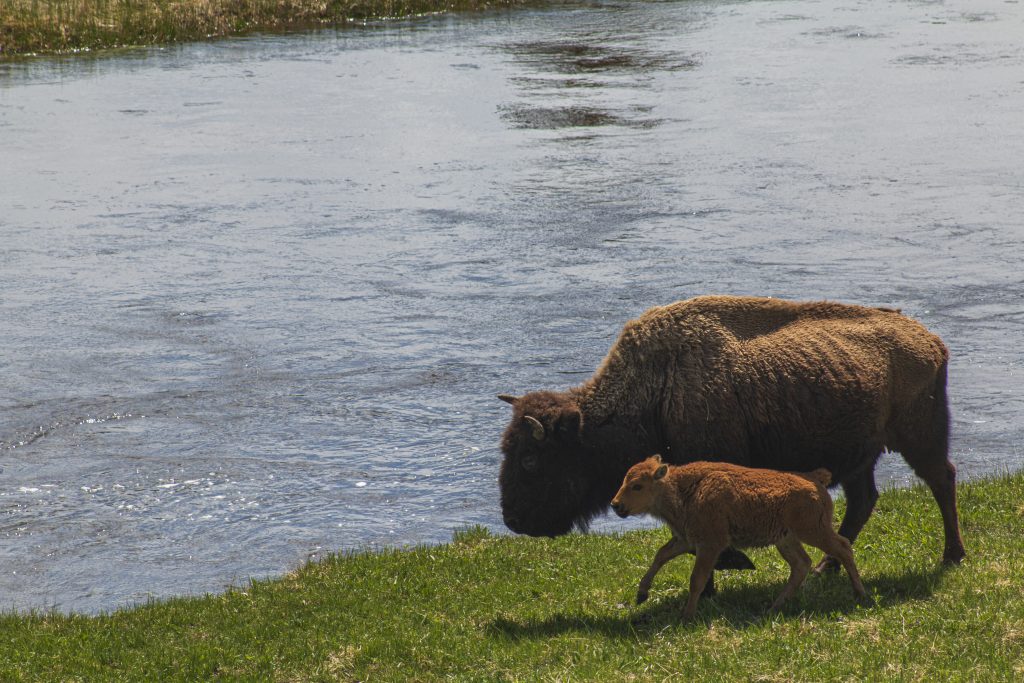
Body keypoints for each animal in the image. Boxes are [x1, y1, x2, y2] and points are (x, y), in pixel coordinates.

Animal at [499, 296, 962, 573]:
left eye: (529, 459)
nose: (512, 520)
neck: (656, 385)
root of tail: (931, 340)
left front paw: (732, 562)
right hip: (859, 455)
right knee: (864, 501)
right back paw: (826, 567)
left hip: (920, 436)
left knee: (942, 479)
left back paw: (952, 555)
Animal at [610, 454, 868, 618]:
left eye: (637, 486)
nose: (615, 505)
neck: (684, 489)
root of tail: (814, 478)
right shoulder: (685, 539)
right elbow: (661, 555)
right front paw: (641, 594)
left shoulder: (710, 544)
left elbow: (696, 579)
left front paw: (687, 615)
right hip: (786, 540)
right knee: (801, 564)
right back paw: (774, 607)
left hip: (813, 532)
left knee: (842, 548)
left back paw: (861, 595)